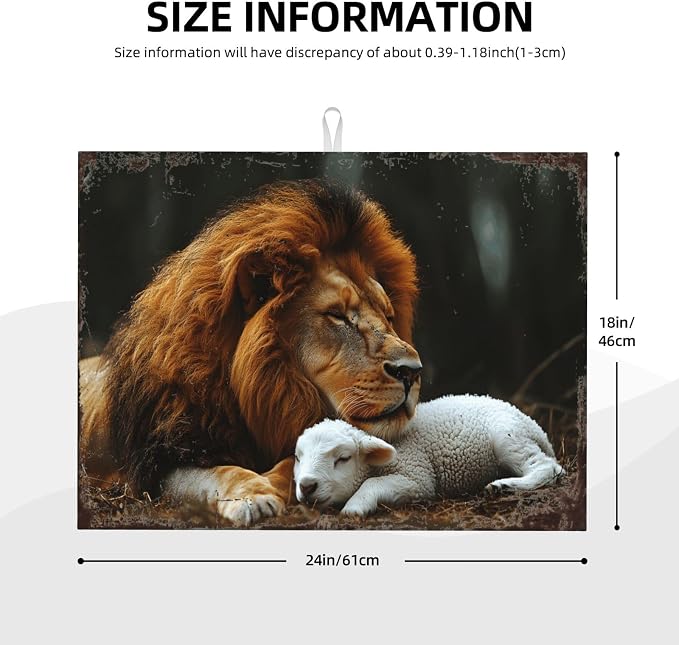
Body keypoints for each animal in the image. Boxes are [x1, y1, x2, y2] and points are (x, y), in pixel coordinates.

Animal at [79, 179, 421, 525]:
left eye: (388, 315)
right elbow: (221, 473)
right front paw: (252, 495)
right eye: (337, 315)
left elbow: (292, 460)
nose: (412, 371)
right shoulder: (163, 462)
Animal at [293, 394, 565, 516]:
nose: (306, 486)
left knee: (547, 467)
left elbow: (373, 483)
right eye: (298, 458)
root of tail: (534, 425)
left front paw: (355, 507)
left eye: (343, 458)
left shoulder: (417, 478)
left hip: (508, 435)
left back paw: (504, 486)